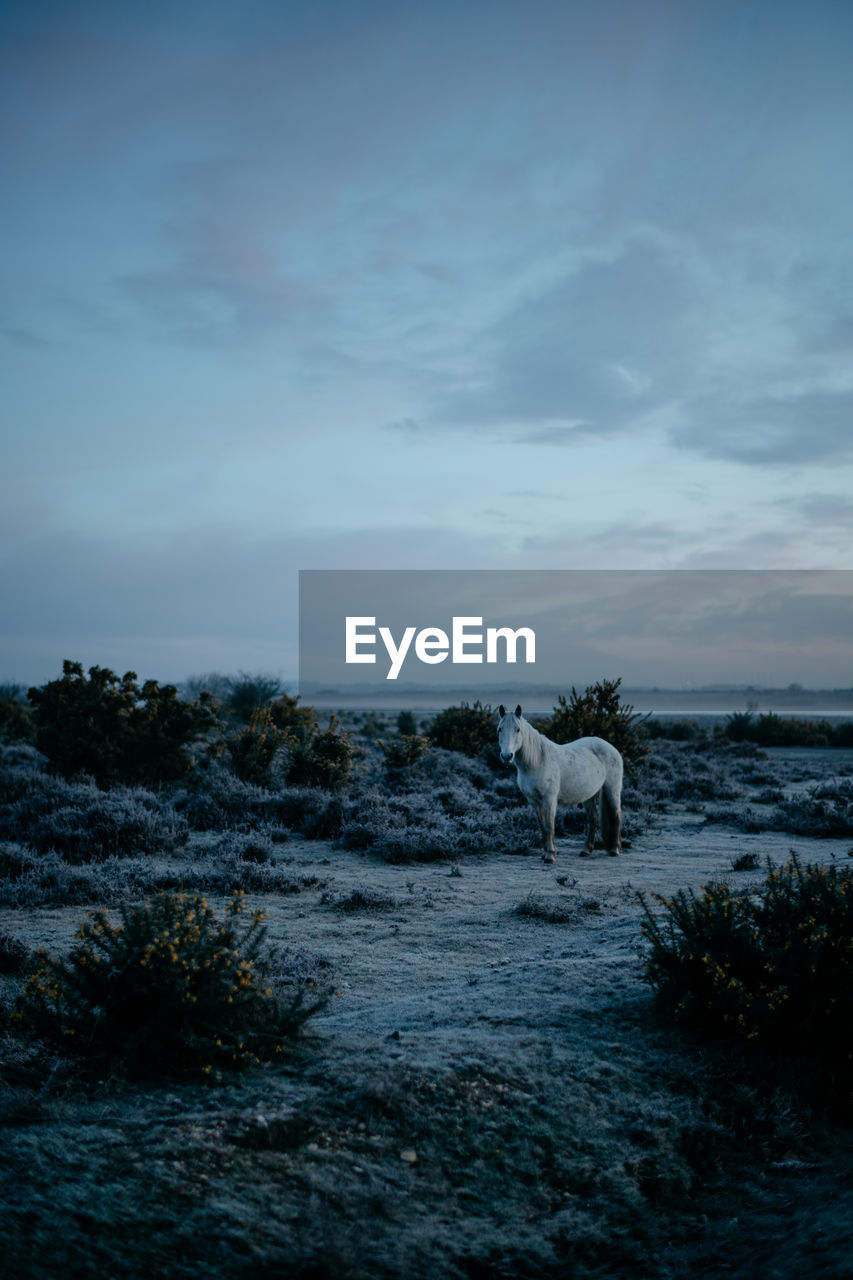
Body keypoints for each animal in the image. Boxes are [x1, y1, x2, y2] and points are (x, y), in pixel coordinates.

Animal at [494, 706, 622, 865]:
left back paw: (614, 850)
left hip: (612, 790)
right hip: (589, 796)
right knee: (593, 819)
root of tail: (611, 747)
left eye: (518, 729)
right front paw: (544, 854)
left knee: (616, 816)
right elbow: (542, 826)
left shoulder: (549, 800)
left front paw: (550, 855)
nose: (507, 756)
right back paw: (586, 850)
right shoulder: (534, 801)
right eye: (500, 729)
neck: (537, 762)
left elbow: (550, 825)